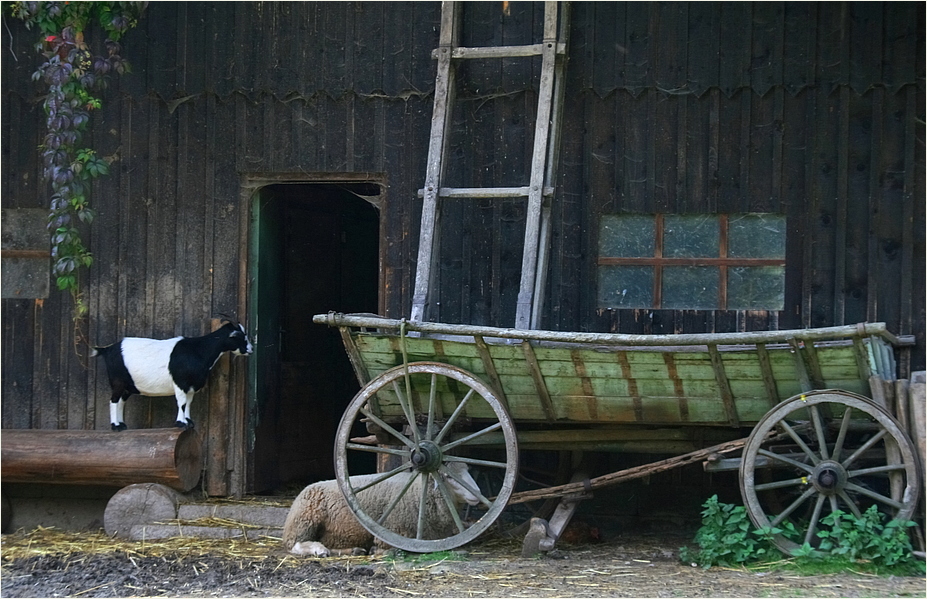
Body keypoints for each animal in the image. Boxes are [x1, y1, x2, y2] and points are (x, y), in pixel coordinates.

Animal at [91, 318, 254, 432]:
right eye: (241, 337)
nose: (251, 349)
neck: (199, 350)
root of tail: (108, 349)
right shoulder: (180, 382)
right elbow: (181, 402)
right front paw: (181, 423)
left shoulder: (191, 386)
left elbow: (188, 402)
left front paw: (189, 422)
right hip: (118, 381)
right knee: (113, 400)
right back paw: (115, 426)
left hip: (128, 386)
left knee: (121, 402)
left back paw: (122, 424)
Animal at [284, 464, 482, 556]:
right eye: (449, 476)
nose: (478, 494)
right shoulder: (393, 532)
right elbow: (394, 550)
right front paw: (377, 551)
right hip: (305, 520)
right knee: (296, 544)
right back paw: (319, 550)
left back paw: (353, 550)